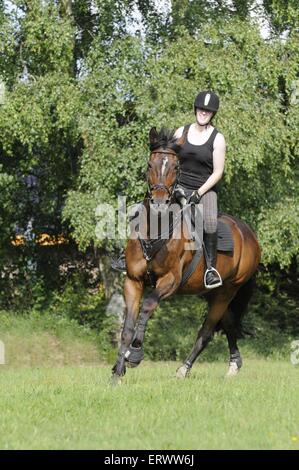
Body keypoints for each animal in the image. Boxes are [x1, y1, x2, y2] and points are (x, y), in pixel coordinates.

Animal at [111, 127, 262, 382]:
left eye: (175, 166)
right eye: (150, 164)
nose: (159, 202)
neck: (156, 230)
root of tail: (249, 234)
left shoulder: (170, 282)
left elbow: (148, 306)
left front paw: (136, 354)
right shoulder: (133, 281)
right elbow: (127, 327)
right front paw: (117, 372)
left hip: (228, 291)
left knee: (207, 330)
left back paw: (184, 369)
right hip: (212, 293)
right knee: (229, 325)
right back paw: (234, 364)